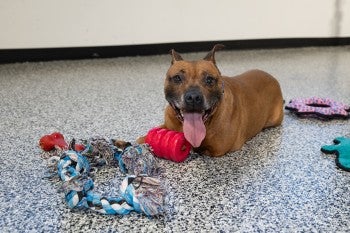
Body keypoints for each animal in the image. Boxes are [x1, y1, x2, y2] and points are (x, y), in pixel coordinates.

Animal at [138, 44, 284, 157]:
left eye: (209, 79)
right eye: (177, 78)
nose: (193, 97)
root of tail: (272, 78)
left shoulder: (216, 149)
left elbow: (198, 148)